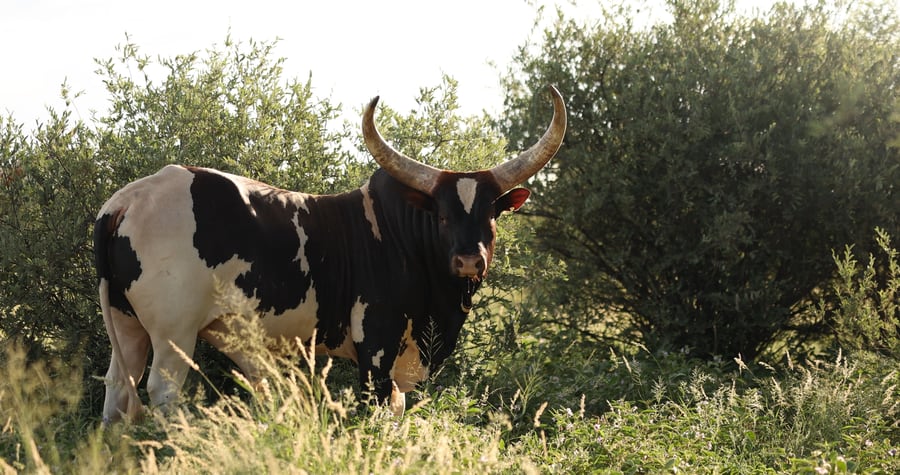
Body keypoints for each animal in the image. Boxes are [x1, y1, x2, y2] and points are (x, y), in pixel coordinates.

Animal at [94, 86, 566, 423]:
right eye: (444, 216)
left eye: (491, 215)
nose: (469, 261)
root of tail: (127, 200)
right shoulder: (376, 348)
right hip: (173, 335)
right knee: (163, 393)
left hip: (127, 328)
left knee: (116, 395)